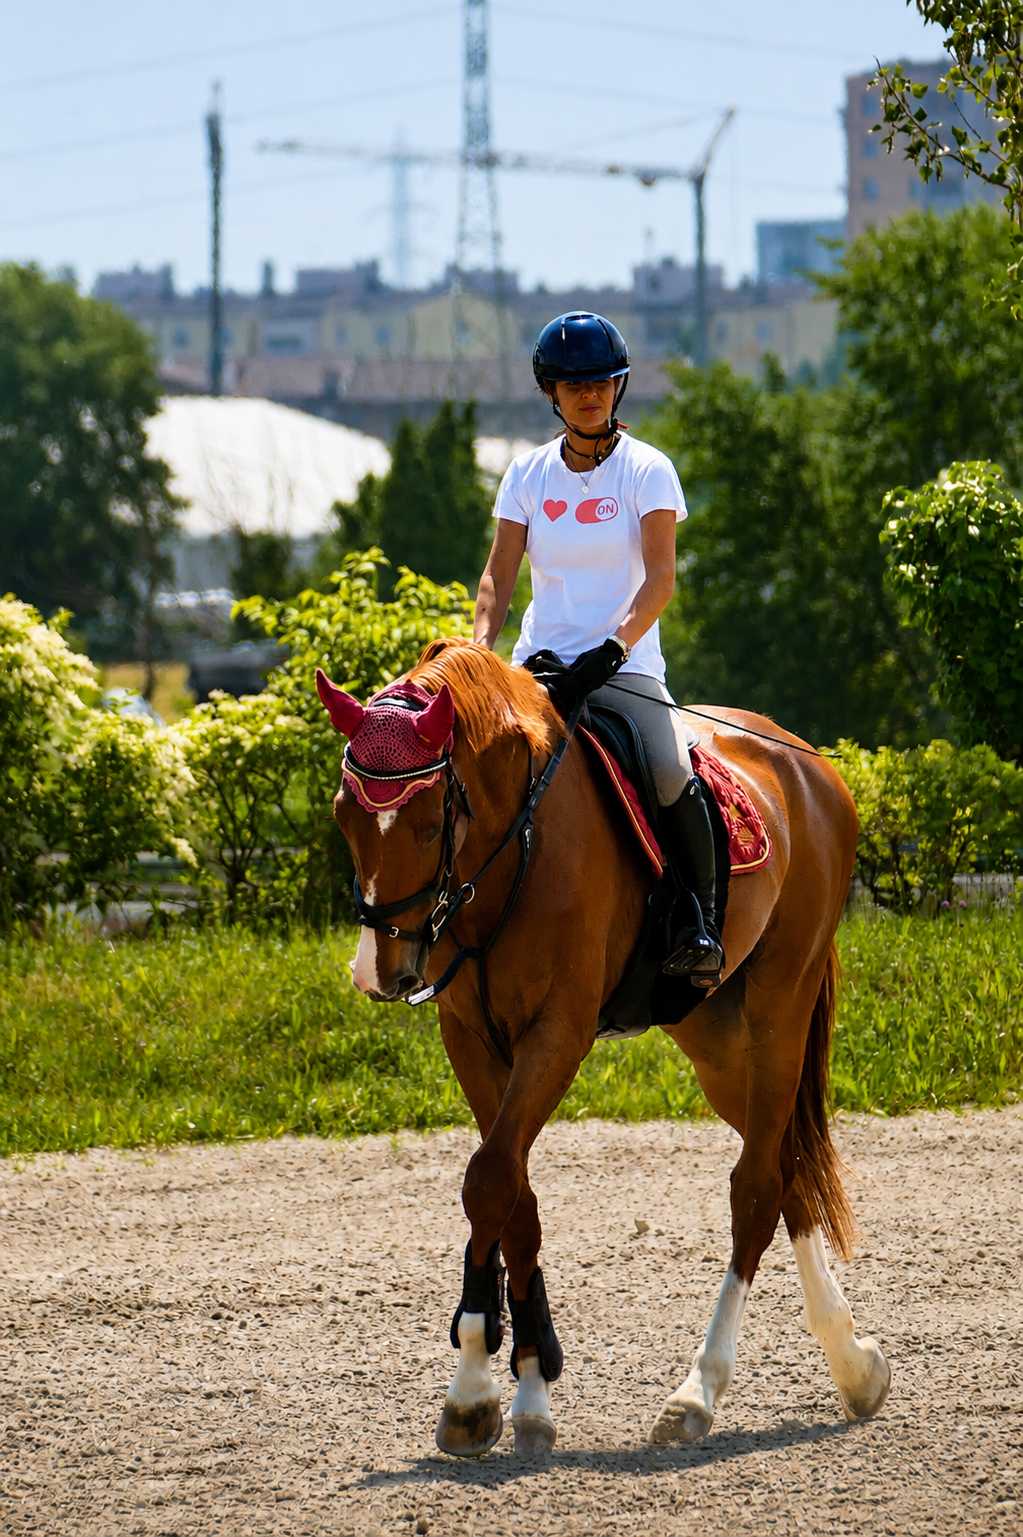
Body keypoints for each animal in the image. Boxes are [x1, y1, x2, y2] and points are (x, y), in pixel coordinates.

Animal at [317, 637, 890, 1456]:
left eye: (428, 820)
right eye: (344, 816)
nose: (381, 972)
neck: (513, 847)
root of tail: (811, 763)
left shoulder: (557, 1032)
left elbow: (489, 1181)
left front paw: (472, 1389)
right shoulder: (472, 1038)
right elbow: (514, 1196)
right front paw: (525, 1387)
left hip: (780, 1003)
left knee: (754, 1189)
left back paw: (698, 1392)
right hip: (718, 1041)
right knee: (786, 1169)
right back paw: (853, 1365)